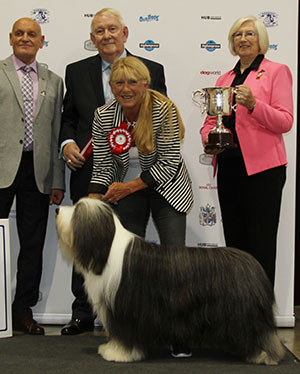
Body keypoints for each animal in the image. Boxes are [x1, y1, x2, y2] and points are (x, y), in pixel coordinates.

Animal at [55, 197, 284, 364]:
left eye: (77, 210)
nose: (57, 210)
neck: (107, 250)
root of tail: (252, 263)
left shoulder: (125, 307)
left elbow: (124, 334)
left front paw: (117, 353)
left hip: (244, 311)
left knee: (260, 333)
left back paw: (264, 354)